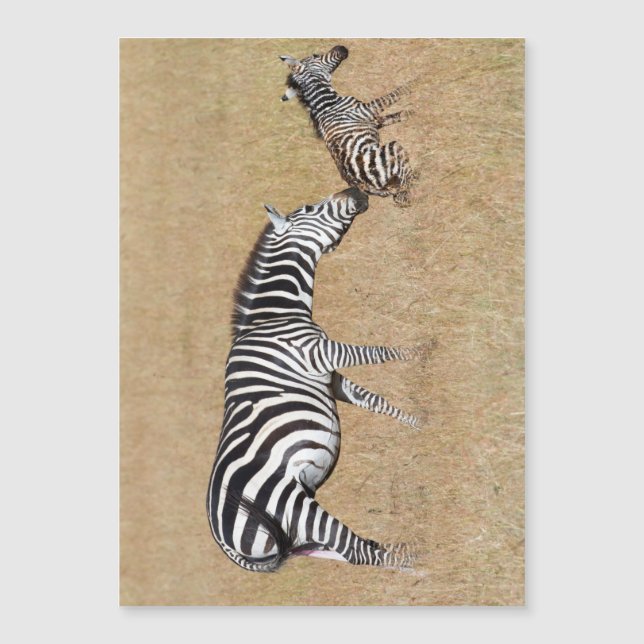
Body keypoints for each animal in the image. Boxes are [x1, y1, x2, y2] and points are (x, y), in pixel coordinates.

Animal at [207, 187, 428, 573]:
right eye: (310, 208)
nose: (356, 190)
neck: (274, 316)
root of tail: (227, 545)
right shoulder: (319, 353)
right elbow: (379, 352)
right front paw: (424, 350)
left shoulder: (329, 375)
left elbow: (375, 400)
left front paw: (420, 422)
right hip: (291, 503)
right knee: (359, 551)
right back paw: (423, 559)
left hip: (301, 534)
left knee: (351, 552)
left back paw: (412, 562)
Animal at [280, 45, 416, 207]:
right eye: (315, 55)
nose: (341, 47)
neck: (328, 103)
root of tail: (363, 186)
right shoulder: (368, 108)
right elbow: (394, 94)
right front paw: (416, 83)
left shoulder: (373, 120)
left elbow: (396, 116)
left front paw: (411, 112)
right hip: (393, 148)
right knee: (405, 186)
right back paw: (418, 176)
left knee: (401, 194)